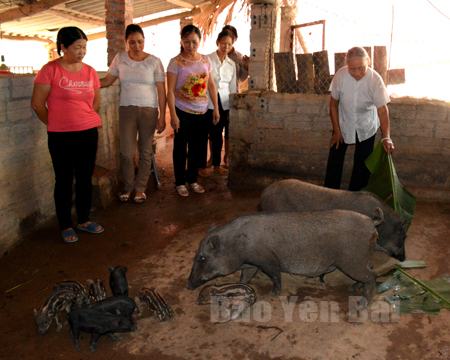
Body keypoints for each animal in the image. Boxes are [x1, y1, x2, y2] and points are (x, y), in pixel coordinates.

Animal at [188, 210, 382, 308]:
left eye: (202, 258)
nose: (187, 285)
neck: (236, 245)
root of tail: (372, 222)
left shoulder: (268, 261)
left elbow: (275, 277)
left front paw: (272, 294)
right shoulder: (251, 264)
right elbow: (245, 277)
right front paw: (241, 285)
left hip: (352, 261)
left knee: (372, 276)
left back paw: (361, 305)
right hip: (360, 259)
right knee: (371, 268)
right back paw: (352, 289)